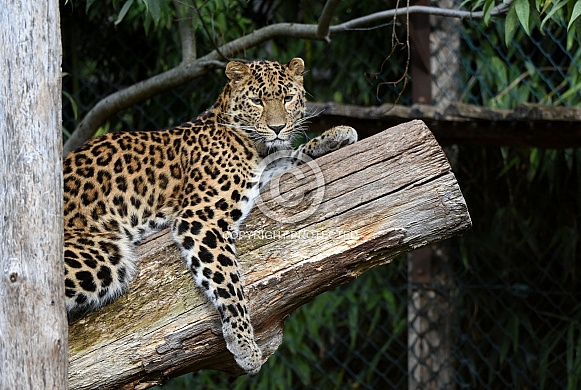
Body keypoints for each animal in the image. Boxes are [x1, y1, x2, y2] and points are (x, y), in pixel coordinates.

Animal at [62, 56, 354, 374]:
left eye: (287, 98)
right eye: (257, 101)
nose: (277, 128)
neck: (254, 146)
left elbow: (293, 156)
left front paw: (335, 136)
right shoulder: (200, 218)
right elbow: (228, 280)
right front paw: (244, 344)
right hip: (101, 258)